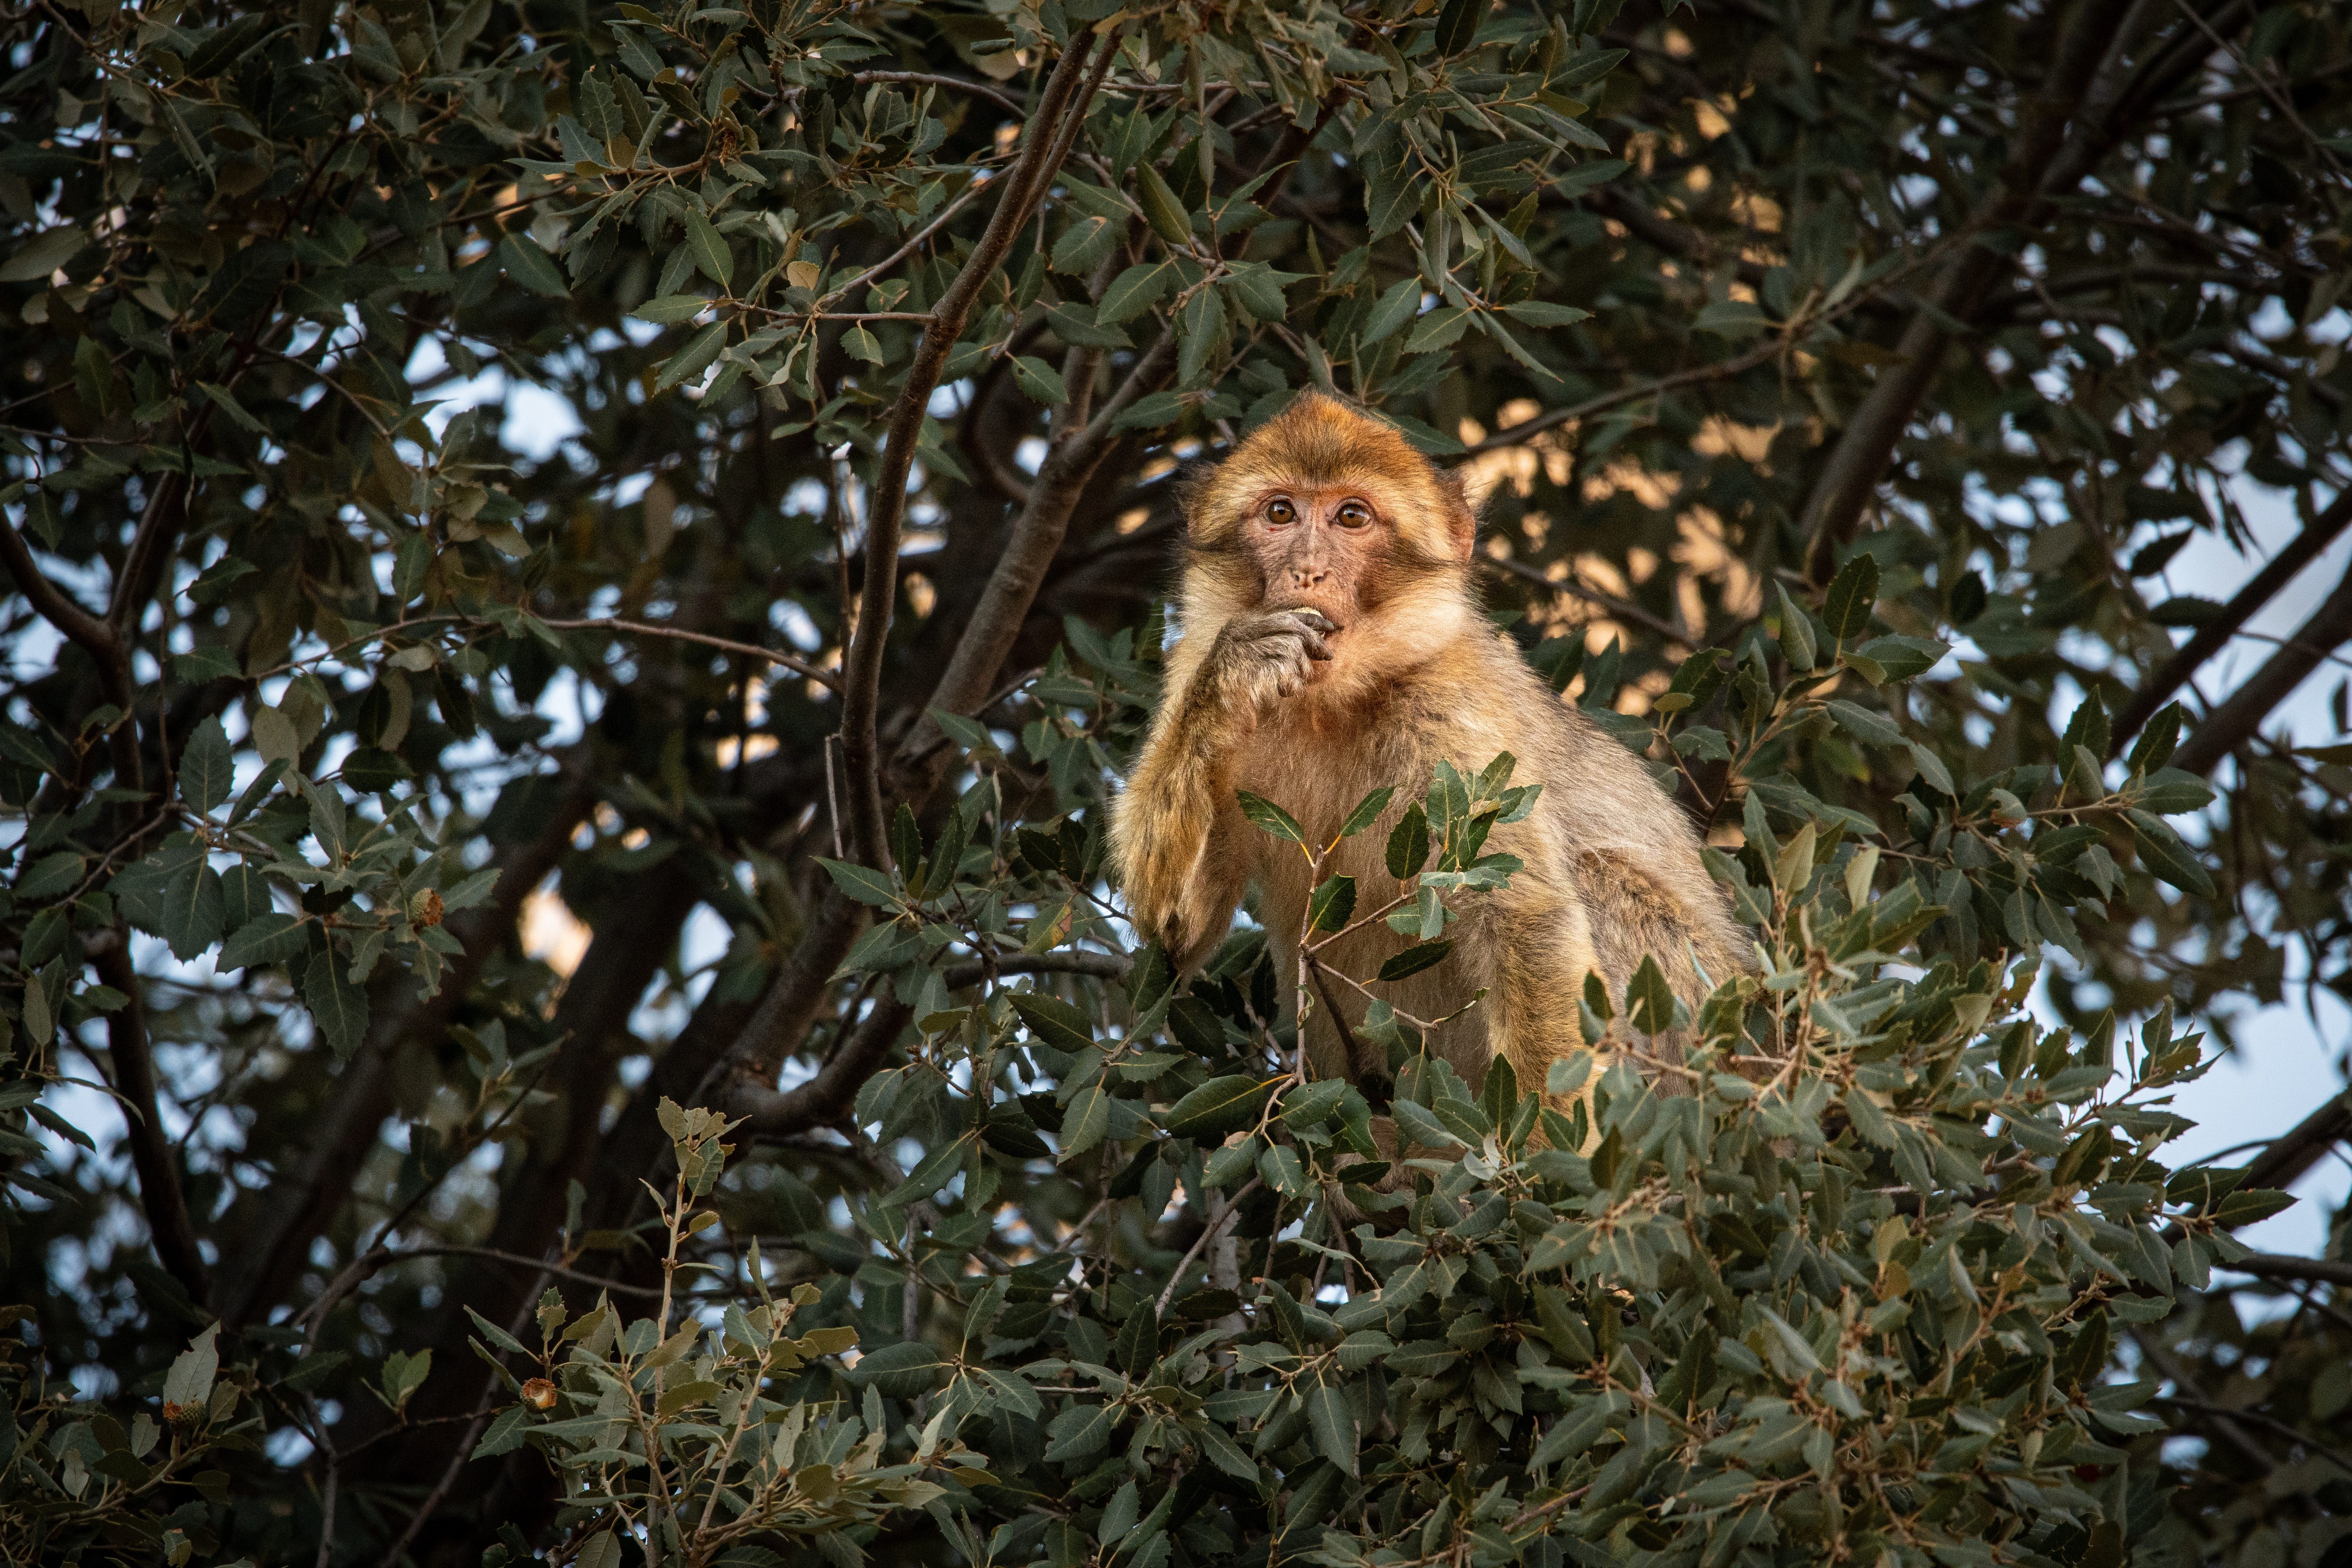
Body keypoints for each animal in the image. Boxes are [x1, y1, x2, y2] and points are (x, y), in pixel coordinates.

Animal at [1109, 391, 1748, 1150]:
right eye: (1281, 513)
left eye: (1351, 517)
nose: (1307, 570)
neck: (1332, 705)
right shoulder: (1191, 663)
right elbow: (1180, 929)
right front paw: (1236, 676)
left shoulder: (1453, 718)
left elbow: (1523, 914)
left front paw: (1543, 1167)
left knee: (1597, 884)